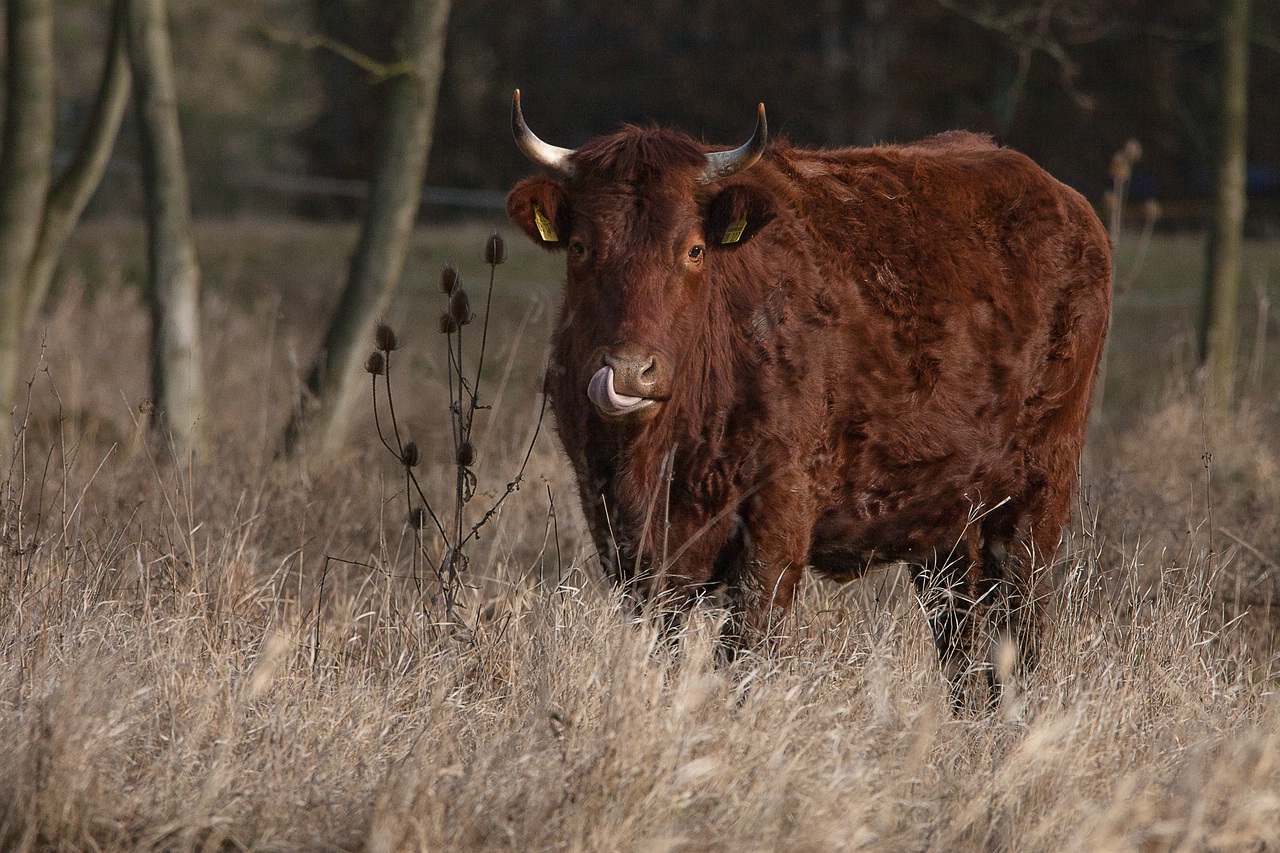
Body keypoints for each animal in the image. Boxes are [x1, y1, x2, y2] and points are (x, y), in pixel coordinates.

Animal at [504, 91, 1105, 701]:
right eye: (581, 247)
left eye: (693, 250)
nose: (630, 372)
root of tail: (1063, 198)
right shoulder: (624, 535)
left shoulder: (778, 517)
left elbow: (746, 651)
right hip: (949, 521)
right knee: (960, 638)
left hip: (1039, 494)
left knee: (1018, 631)